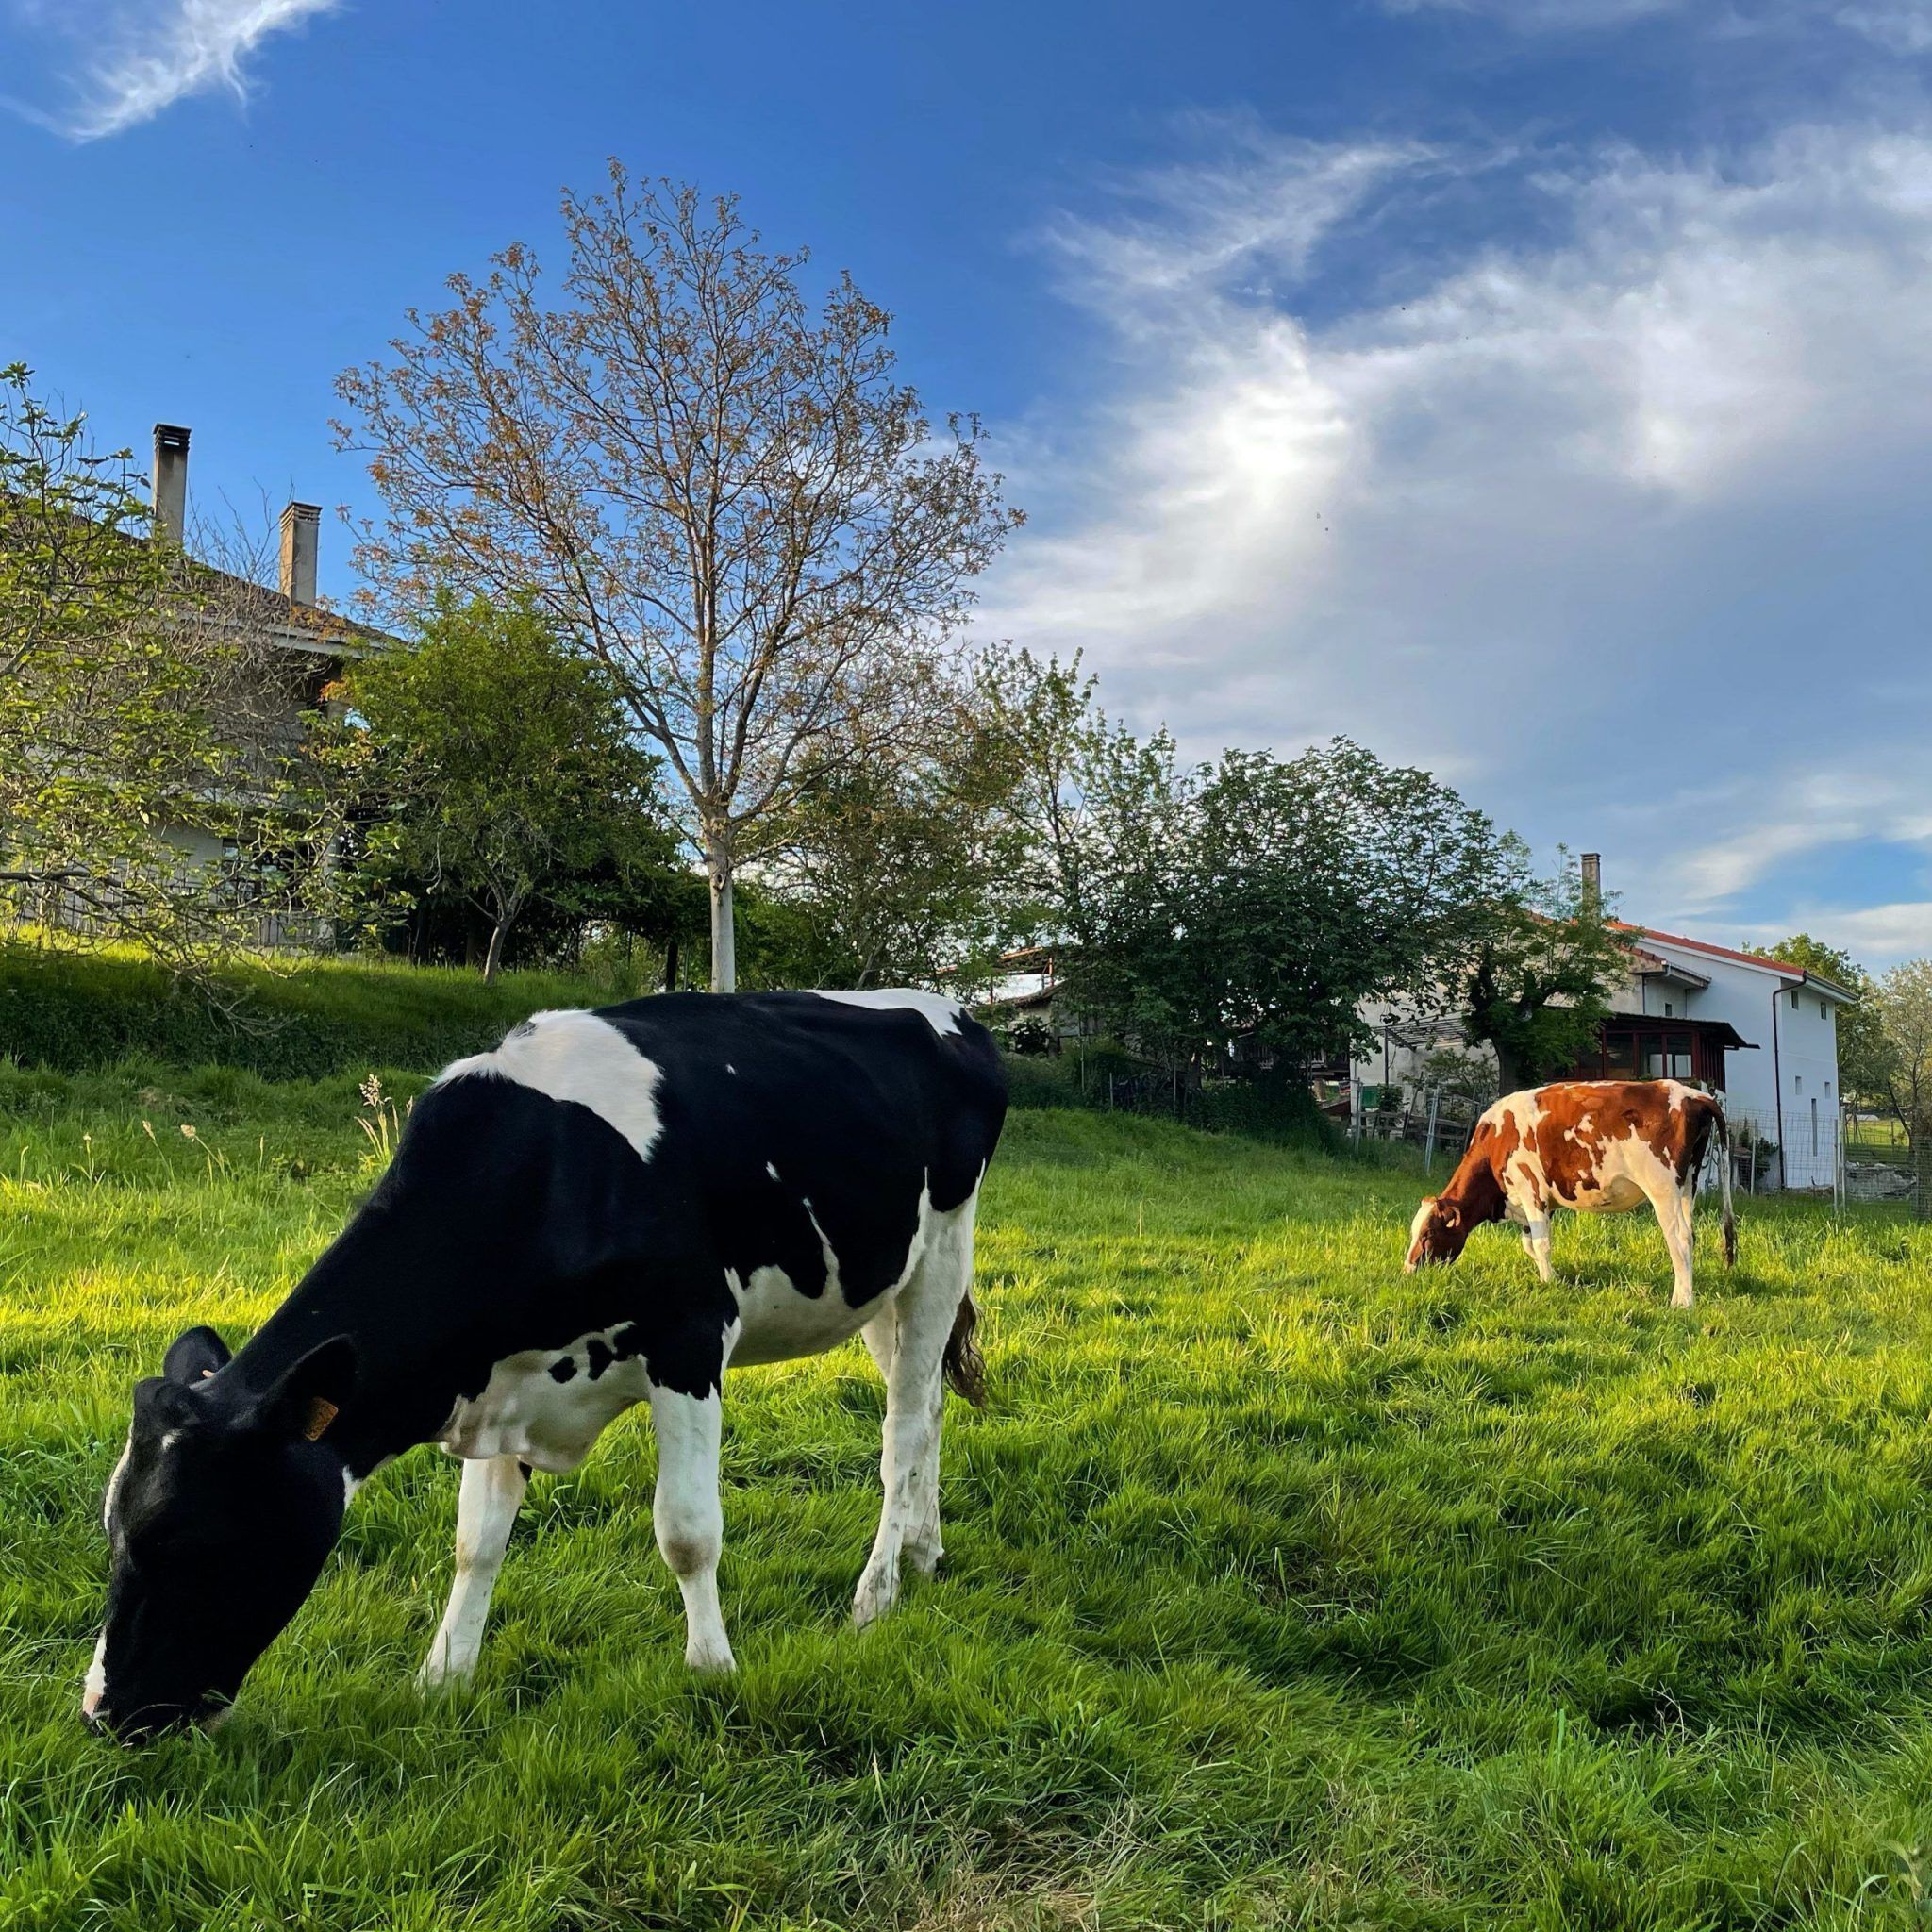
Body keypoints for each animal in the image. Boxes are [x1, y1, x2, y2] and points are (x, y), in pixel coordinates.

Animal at [83, 989, 1006, 1742]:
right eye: (112, 1529)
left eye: (188, 1537)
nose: (104, 1714)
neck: (552, 1173)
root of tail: (946, 1008)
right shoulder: (499, 1385)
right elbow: (475, 1545)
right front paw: (442, 1679)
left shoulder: (689, 1337)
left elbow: (686, 1532)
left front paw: (712, 1669)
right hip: (880, 1281)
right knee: (926, 1409)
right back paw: (924, 1551)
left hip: (943, 1247)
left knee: (902, 1428)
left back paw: (877, 1594)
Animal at [1403, 1079, 1735, 1307]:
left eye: (1428, 1235)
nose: (1408, 1270)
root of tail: (1691, 1093)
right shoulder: (1532, 1204)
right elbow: (1530, 1244)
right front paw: (1554, 1277)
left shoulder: (1531, 1190)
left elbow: (1541, 1244)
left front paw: (1548, 1282)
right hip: (1688, 1184)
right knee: (1691, 1235)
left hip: (1662, 1188)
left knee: (1679, 1238)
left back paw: (1682, 1302)